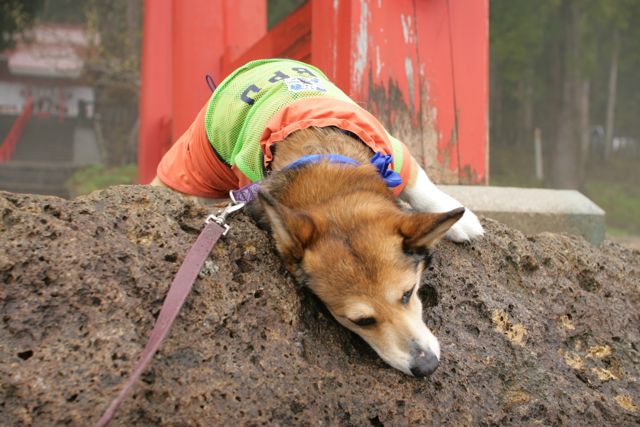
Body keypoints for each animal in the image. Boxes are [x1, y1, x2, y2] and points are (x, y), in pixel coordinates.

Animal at [152, 58, 482, 376]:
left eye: (408, 294)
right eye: (362, 321)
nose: (427, 367)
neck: (326, 169)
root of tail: (253, 65)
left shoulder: (397, 153)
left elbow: (420, 185)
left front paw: (463, 220)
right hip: (197, 152)